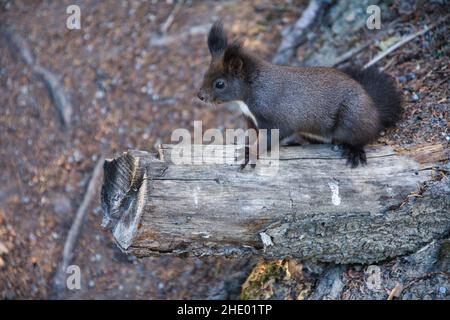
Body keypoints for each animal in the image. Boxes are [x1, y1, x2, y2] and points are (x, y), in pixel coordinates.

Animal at [196, 20, 400, 168]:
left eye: (220, 84)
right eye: (204, 74)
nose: (200, 96)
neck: (249, 94)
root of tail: (375, 110)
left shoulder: (275, 118)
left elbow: (269, 138)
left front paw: (250, 154)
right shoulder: (251, 119)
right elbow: (253, 135)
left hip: (353, 117)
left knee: (363, 136)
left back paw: (355, 151)